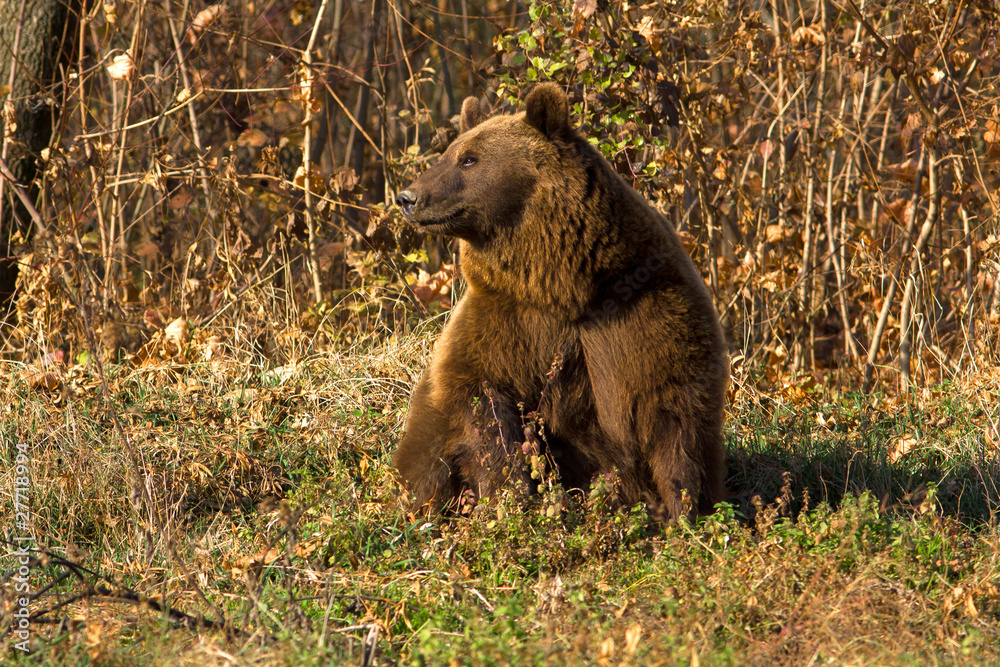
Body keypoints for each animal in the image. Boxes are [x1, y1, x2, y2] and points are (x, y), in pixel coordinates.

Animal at [393, 83, 728, 520]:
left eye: (469, 159)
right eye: (451, 152)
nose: (408, 197)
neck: (564, 286)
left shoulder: (644, 317)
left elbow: (675, 419)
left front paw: (682, 513)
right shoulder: (506, 322)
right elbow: (484, 411)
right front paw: (514, 497)